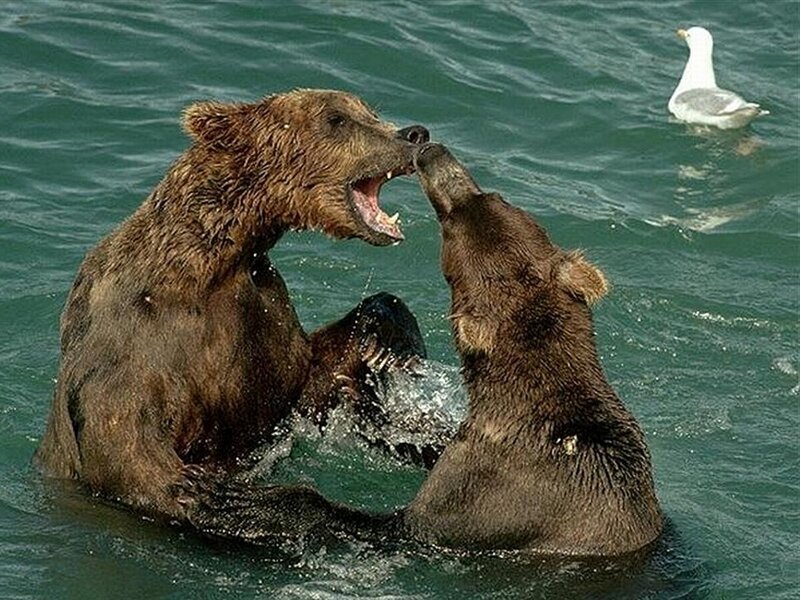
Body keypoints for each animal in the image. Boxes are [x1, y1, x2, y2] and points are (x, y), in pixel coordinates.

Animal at [33, 89, 433, 533]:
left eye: (370, 112)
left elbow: (308, 379)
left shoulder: (262, 316)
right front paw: (229, 499)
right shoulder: (131, 355)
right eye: (336, 119)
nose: (415, 133)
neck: (213, 267)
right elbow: (141, 463)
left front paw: (387, 341)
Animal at [193, 143, 663, 556]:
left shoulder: (494, 489)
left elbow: (397, 524)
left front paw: (239, 502)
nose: (434, 153)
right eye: (496, 196)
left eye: (449, 224)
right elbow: (421, 440)